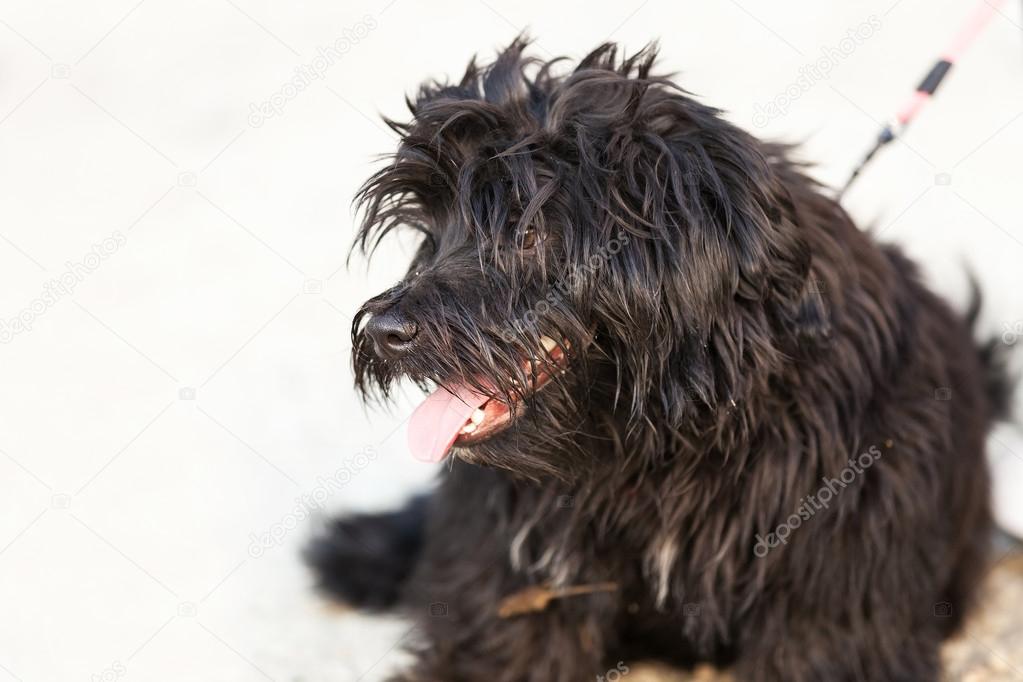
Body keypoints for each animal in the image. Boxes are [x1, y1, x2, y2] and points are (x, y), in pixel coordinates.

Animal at [306, 40, 1010, 678]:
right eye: (431, 228)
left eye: (525, 230)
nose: (386, 331)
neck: (666, 439)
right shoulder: (514, 577)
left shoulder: (835, 603)